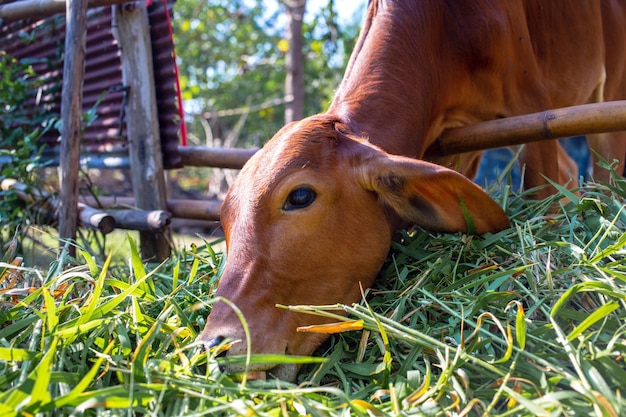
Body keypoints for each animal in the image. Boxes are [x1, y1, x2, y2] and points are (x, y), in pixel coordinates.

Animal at [200, 0, 624, 378]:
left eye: (300, 196)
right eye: (225, 218)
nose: (213, 345)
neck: (443, 28)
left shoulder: (533, 106)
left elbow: (543, 197)